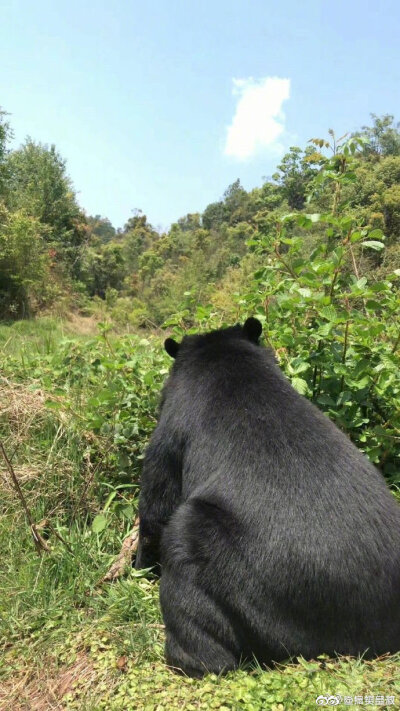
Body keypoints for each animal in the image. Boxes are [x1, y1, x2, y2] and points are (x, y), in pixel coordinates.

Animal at [136, 322, 400, 680]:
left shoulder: (173, 428)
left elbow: (156, 502)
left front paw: (138, 569)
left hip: (248, 581)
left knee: (184, 555)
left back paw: (188, 660)